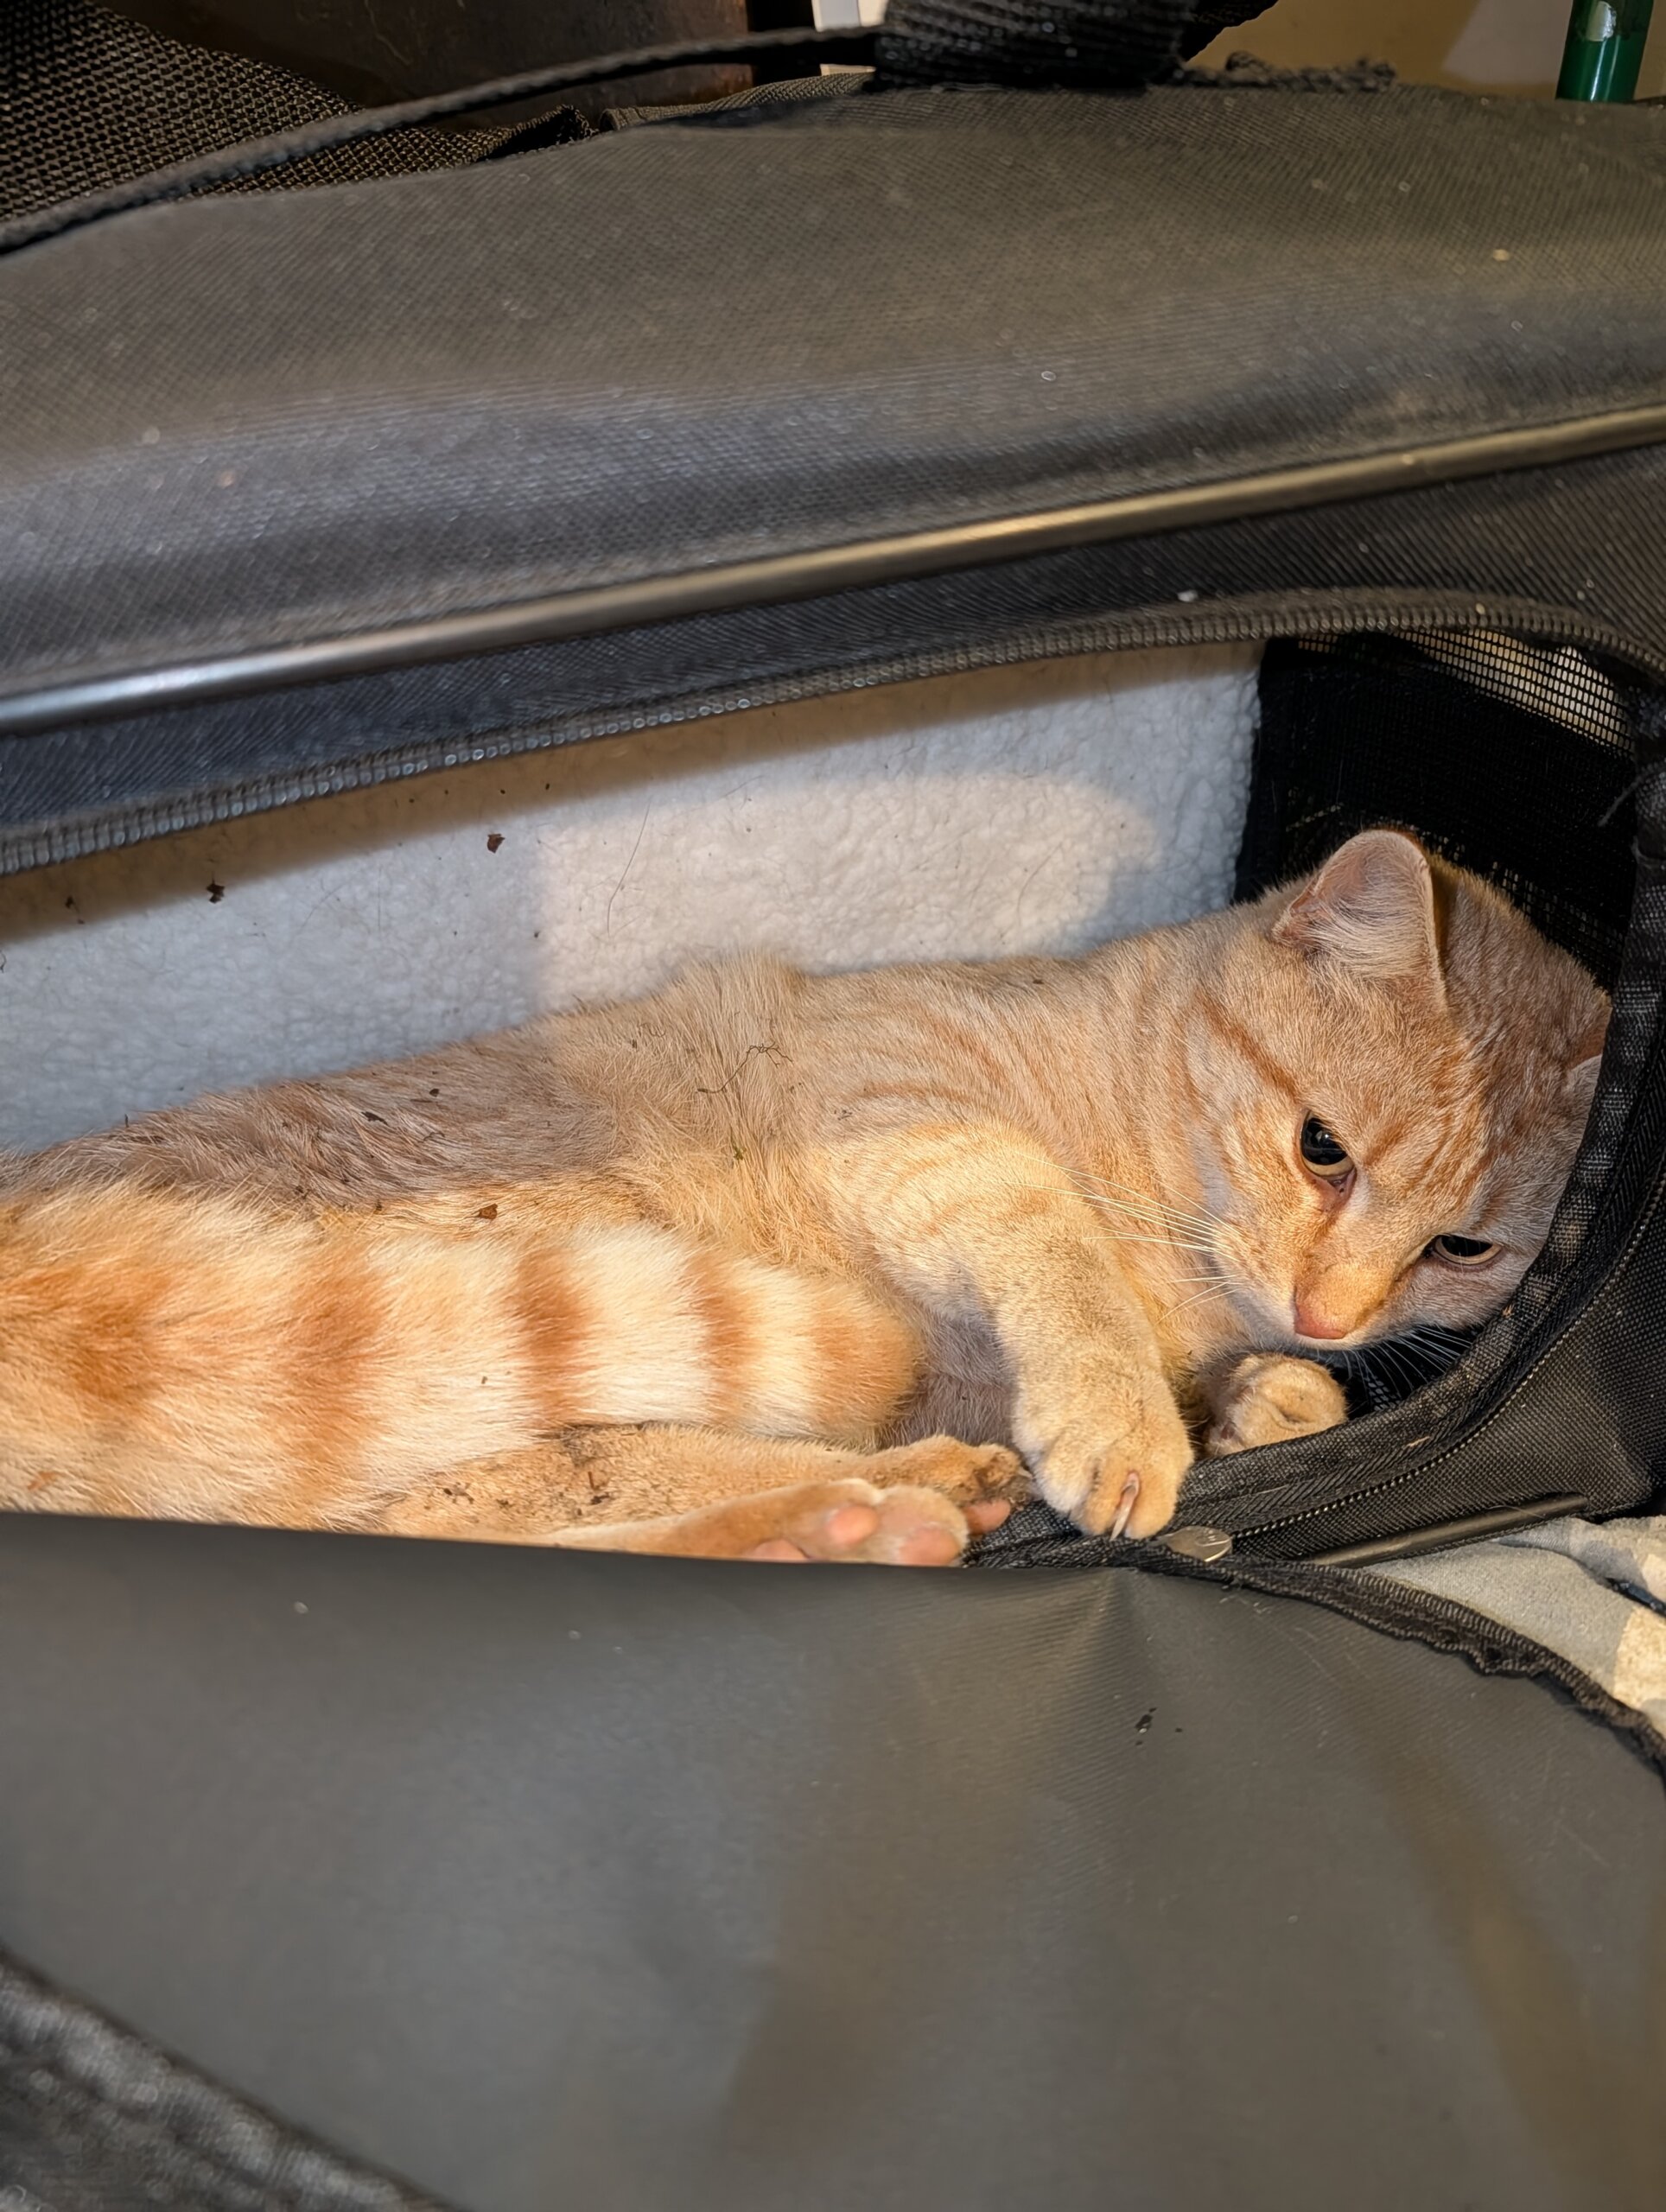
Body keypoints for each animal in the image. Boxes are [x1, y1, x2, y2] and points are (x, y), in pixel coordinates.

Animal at [0, 830, 1608, 1567]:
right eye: (1322, 1149)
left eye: (1463, 1245)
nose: (1329, 1313)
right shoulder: (905, 1107)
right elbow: (1049, 1235)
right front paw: (1123, 1412)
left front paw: (1274, 1400)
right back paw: (888, 1508)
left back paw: (885, 1512)